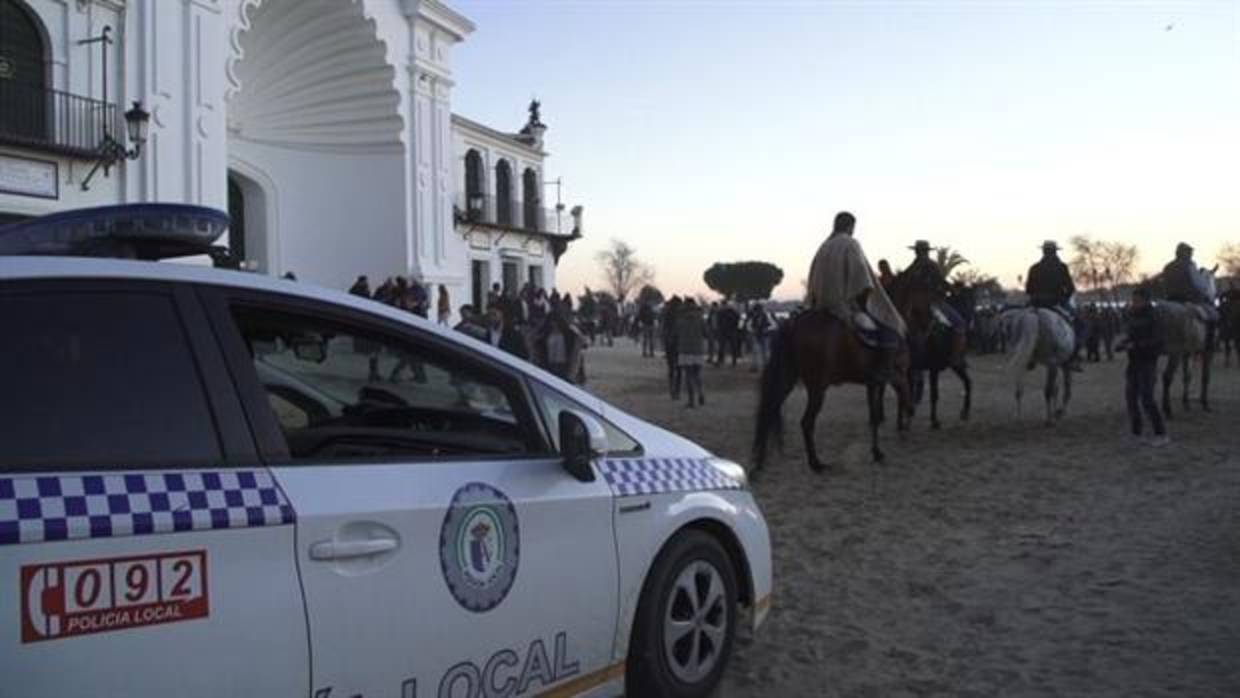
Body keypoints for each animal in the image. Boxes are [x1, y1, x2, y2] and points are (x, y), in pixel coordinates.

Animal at [748, 309, 917, 476]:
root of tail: (793, 323)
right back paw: (815, 464)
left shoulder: (875, 383)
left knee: (769, 411)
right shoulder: (895, 378)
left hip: (788, 380)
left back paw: (759, 463)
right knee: (806, 422)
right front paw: (899, 434)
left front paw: (877, 452)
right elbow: (902, 404)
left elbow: (875, 418)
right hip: (817, 389)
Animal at [892, 273, 977, 431]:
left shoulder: (952, 365)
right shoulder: (936, 368)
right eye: (968, 300)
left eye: (974, 300)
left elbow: (968, 383)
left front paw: (964, 413)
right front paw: (934, 421)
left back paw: (903, 421)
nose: (971, 324)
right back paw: (903, 421)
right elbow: (934, 394)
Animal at [1155, 267, 1215, 414]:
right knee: (1167, 377)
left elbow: (1187, 376)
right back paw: (1167, 409)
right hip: (1174, 354)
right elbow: (1205, 377)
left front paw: (1186, 402)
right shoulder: (1208, 352)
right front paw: (1204, 403)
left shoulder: (1187, 353)